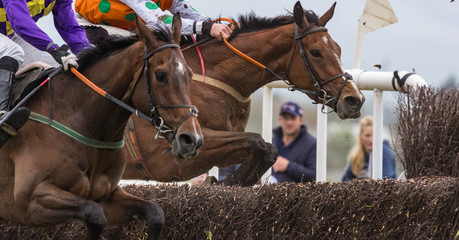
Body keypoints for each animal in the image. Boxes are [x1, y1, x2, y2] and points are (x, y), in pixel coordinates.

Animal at [0, 15, 202, 240]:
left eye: (190, 74)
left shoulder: (107, 196)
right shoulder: (27, 200)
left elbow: (155, 213)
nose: (192, 139)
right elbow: (95, 215)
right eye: (161, 75)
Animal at [113, 1, 364, 186]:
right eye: (316, 52)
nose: (355, 99)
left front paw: (224, 182)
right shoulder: (171, 158)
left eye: (338, 49)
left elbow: (267, 149)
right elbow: (258, 142)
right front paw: (216, 183)